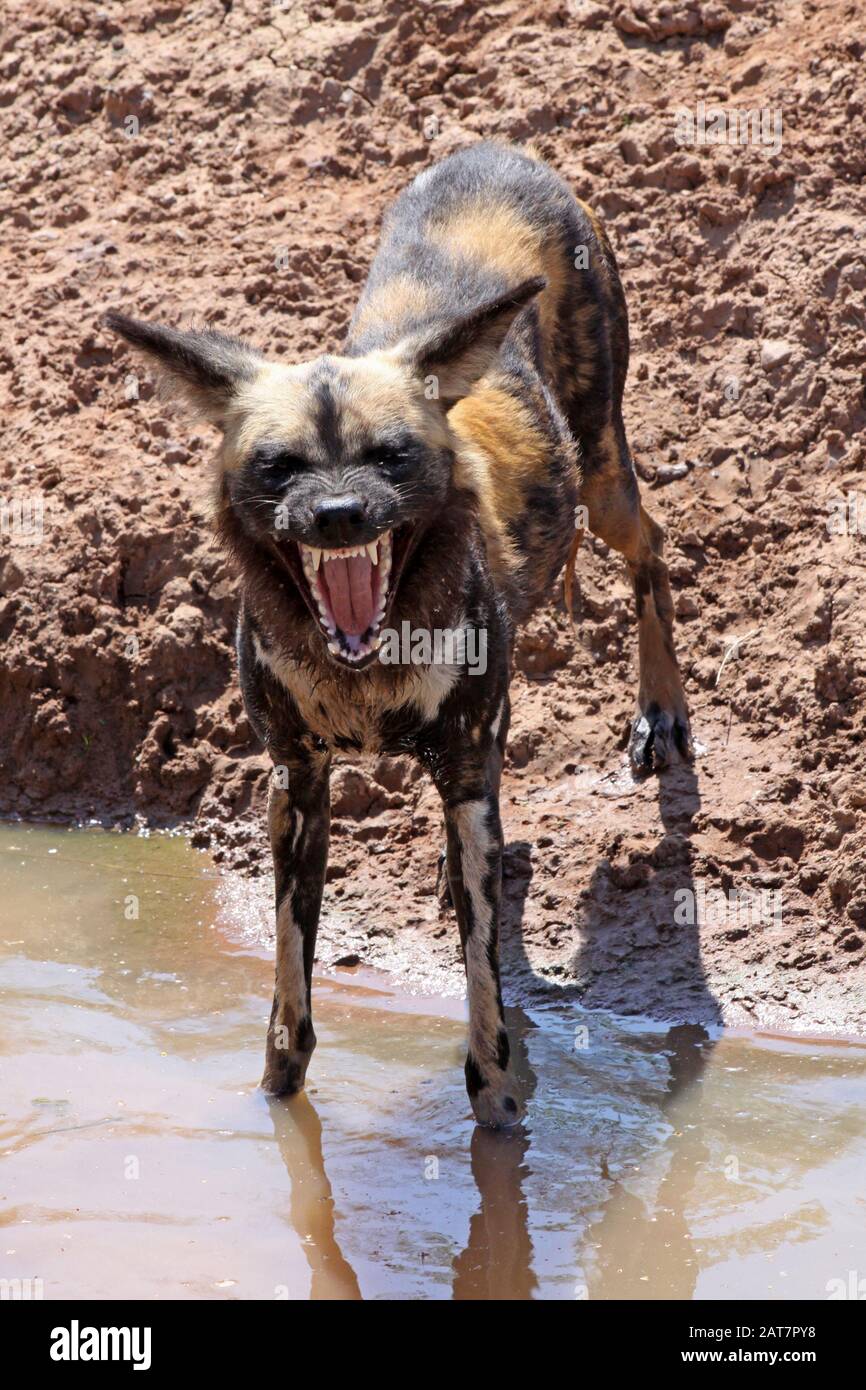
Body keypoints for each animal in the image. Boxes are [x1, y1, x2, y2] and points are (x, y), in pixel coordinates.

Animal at [107, 138, 692, 1128]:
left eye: (391, 458)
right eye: (280, 467)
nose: (340, 515)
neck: (368, 668)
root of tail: (495, 150)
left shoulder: (453, 778)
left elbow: (487, 1007)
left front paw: (502, 1123)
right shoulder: (297, 786)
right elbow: (290, 999)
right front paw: (277, 1112)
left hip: (604, 473)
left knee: (651, 549)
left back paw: (661, 713)